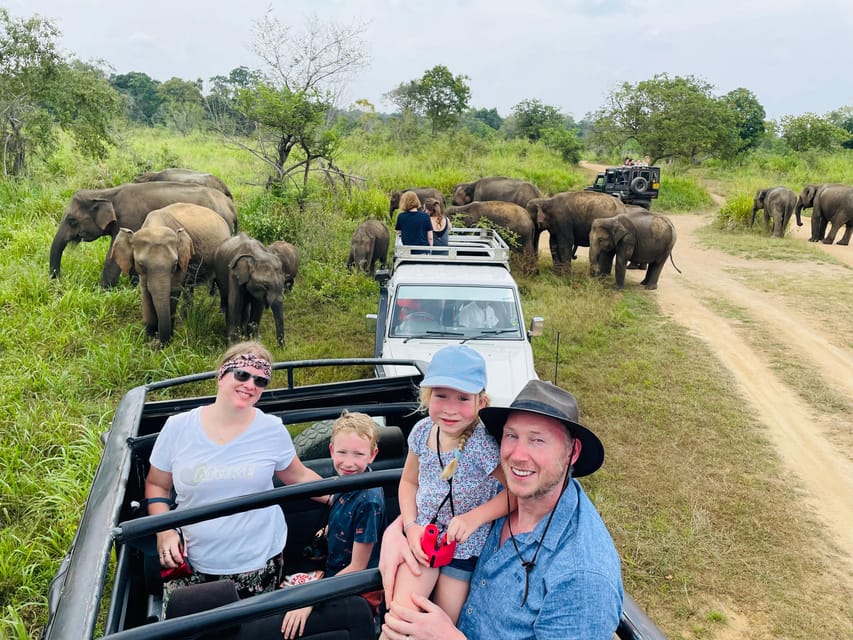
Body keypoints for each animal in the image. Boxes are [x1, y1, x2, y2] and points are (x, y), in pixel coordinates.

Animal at [49, 181, 238, 288]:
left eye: (72, 220)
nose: (58, 281)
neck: (104, 193)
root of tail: (231, 207)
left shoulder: (128, 220)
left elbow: (113, 257)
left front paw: (102, 290)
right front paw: (134, 286)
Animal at [109, 205, 233, 344]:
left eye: (174, 264)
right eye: (141, 264)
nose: (158, 342)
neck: (156, 226)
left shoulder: (182, 258)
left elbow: (173, 291)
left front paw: (165, 340)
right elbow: (145, 292)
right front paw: (149, 337)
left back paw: (220, 313)